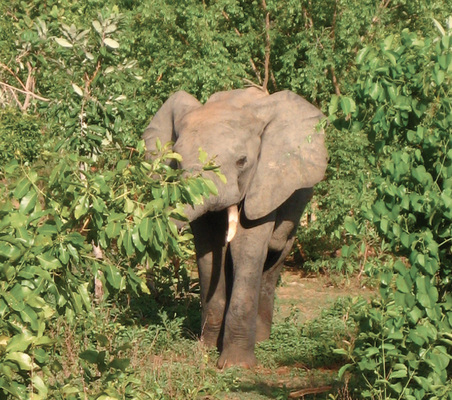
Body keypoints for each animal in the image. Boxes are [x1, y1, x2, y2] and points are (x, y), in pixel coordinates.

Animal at [143, 87, 326, 368]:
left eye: (242, 161)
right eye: (176, 161)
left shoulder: (264, 181)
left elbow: (246, 248)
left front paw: (236, 365)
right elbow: (209, 251)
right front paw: (206, 349)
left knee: (276, 254)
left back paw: (262, 339)